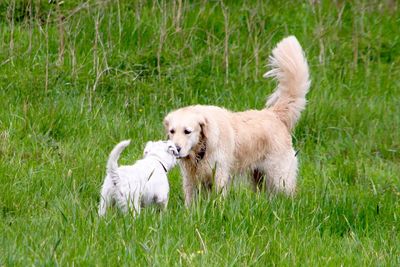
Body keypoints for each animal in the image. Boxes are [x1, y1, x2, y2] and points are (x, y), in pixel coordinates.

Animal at [164, 36, 310, 206]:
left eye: (187, 131)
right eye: (172, 131)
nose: (175, 149)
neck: (202, 149)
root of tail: (273, 113)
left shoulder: (220, 173)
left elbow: (219, 198)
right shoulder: (190, 179)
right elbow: (190, 201)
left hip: (279, 176)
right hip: (259, 178)